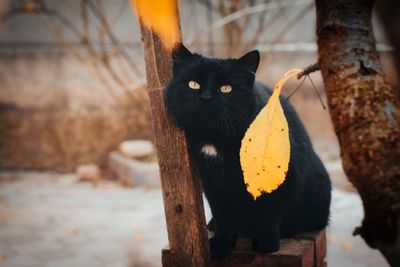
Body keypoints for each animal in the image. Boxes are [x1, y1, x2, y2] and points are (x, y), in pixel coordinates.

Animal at [163, 44, 332, 262]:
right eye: (193, 84)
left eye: (226, 88)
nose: (206, 97)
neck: (215, 138)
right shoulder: (212, 181)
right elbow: (223, 215)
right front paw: (220, 245)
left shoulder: (283, 177)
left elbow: (270, 212)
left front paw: (266, 244)